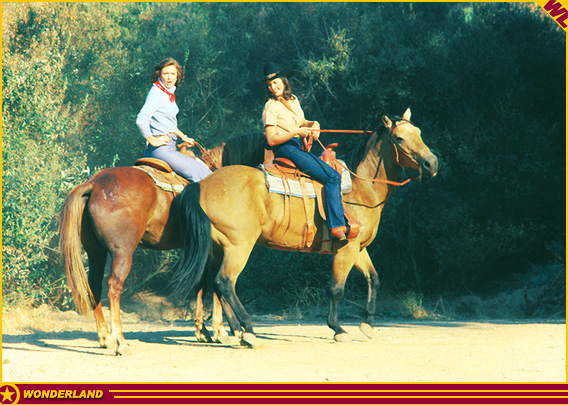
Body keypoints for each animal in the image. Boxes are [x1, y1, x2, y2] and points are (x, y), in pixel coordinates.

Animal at [60, 131, 268, 352]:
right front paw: (221, 330)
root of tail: (94, 185)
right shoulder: (215, 249)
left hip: (95, 251)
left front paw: (203, 331)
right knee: (114, 285)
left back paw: (105, 337)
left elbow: (201, 284)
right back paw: (120, 341)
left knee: (94, 286)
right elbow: (213, 283)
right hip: (122, 252)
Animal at [172, 109, 440, 346]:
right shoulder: (346, 248)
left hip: (219, 247)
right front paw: (338, 329)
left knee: (216, 285)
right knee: (225, 282)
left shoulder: (358, 248)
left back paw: (235, 331)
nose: (431, 164)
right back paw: (247, 331)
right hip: (239, 246)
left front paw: (367, 325)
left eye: (419, 132)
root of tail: (201, 185)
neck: (361, 188)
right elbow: (336, 288)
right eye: (399, 138)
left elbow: (373, 278)